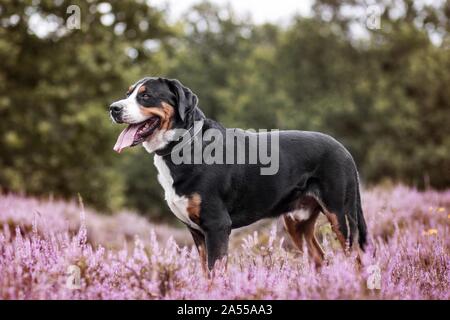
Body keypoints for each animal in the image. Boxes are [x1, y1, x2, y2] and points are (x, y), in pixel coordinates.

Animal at [110, 77, 370, 270]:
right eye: (128, 93)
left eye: (145, 95)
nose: (113, 108)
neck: (185, 145)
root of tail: (343, 149)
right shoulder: (197, 232)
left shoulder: (217, 225)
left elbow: (215, 274)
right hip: (297, 221)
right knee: (320, 258)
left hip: (340, 215)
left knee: (356, 260)